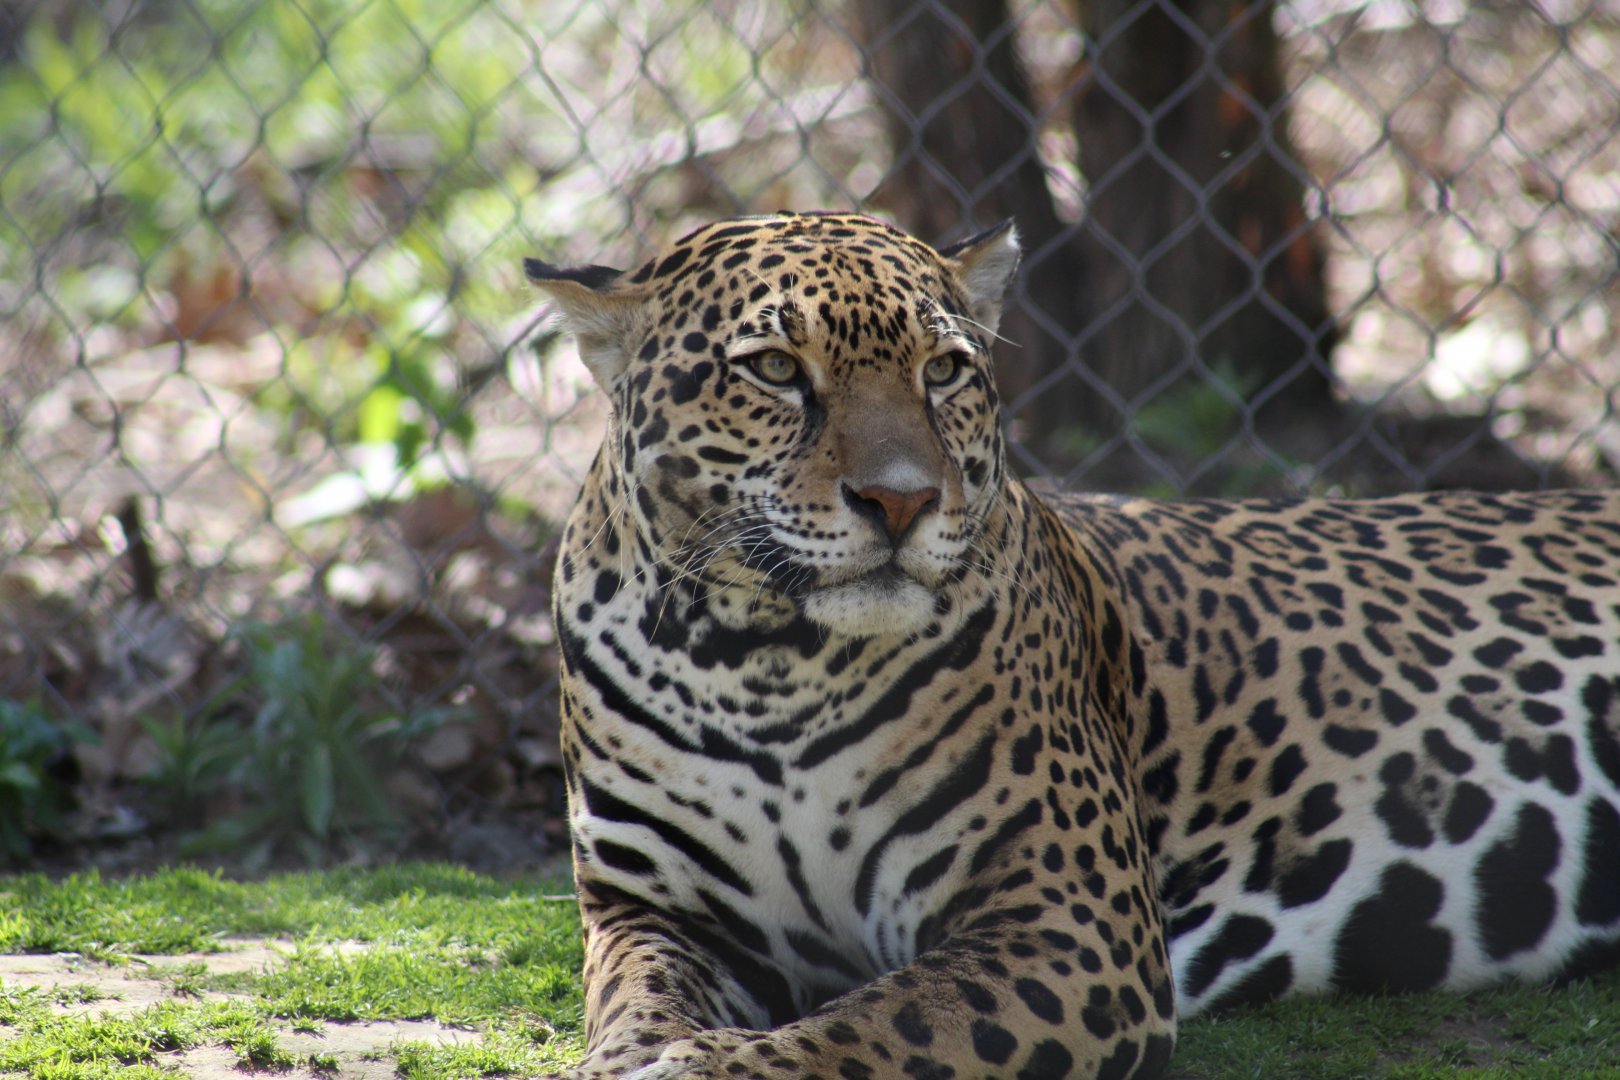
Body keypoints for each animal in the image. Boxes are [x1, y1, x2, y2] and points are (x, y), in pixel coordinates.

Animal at [525, 210, 1620, 1080]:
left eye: (944, 370)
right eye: (774, 370)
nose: (902, 501)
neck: (764, 661)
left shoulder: (1069, 923)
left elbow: (865, 1028)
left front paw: (702, 1065)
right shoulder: (655, 912)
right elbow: (636, 1000)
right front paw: (637, 1053)